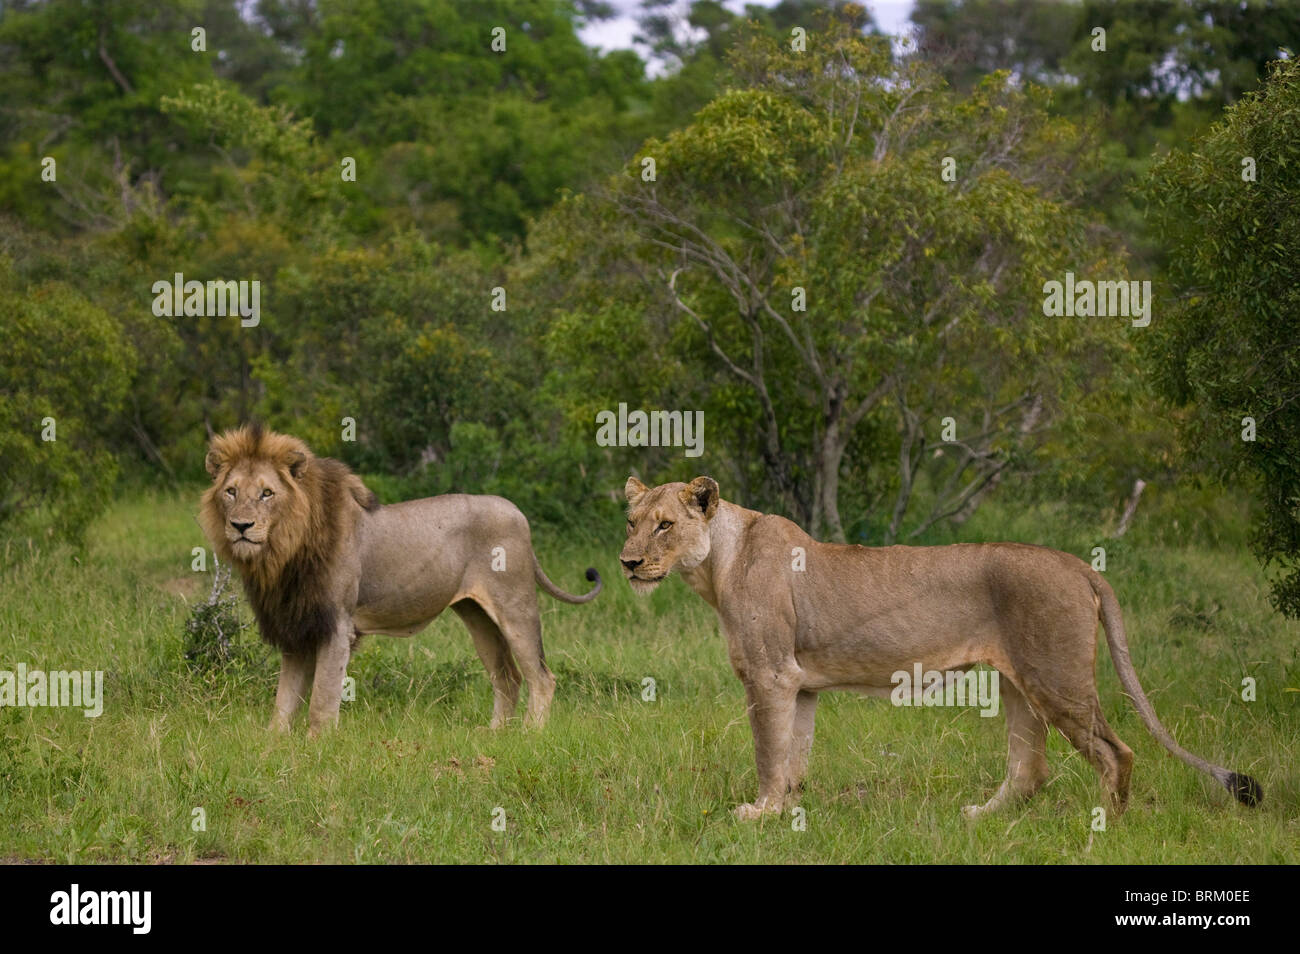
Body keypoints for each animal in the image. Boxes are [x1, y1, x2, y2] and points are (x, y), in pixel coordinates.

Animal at [195, 428, 600, 738]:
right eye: (231, 491)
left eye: (267, 493)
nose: (241, 526)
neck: (281, 554)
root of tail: (518, 512)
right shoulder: (295, 627)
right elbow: (284, 701)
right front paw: (273, 746)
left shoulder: (337, 627)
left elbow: (321, 700)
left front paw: (316, 747)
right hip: (477, 616)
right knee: (508, 678)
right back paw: (494, 736)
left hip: (515, 607)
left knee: (542, 678)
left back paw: (529, 735)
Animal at [618, 478, 1258, 821]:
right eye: (631, 521)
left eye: (665, 525)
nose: (627, 562)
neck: (717, 564)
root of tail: (1080, 565)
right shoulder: (799, 683)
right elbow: (793, 754)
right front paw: (789, 812)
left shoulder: (769, 675)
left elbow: (768, 753)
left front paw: (760, 813)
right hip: (1019, 684)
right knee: (1031, 769)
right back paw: (981, 819)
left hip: (1057, 678)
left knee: (1115, 751)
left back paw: (1106, 827)